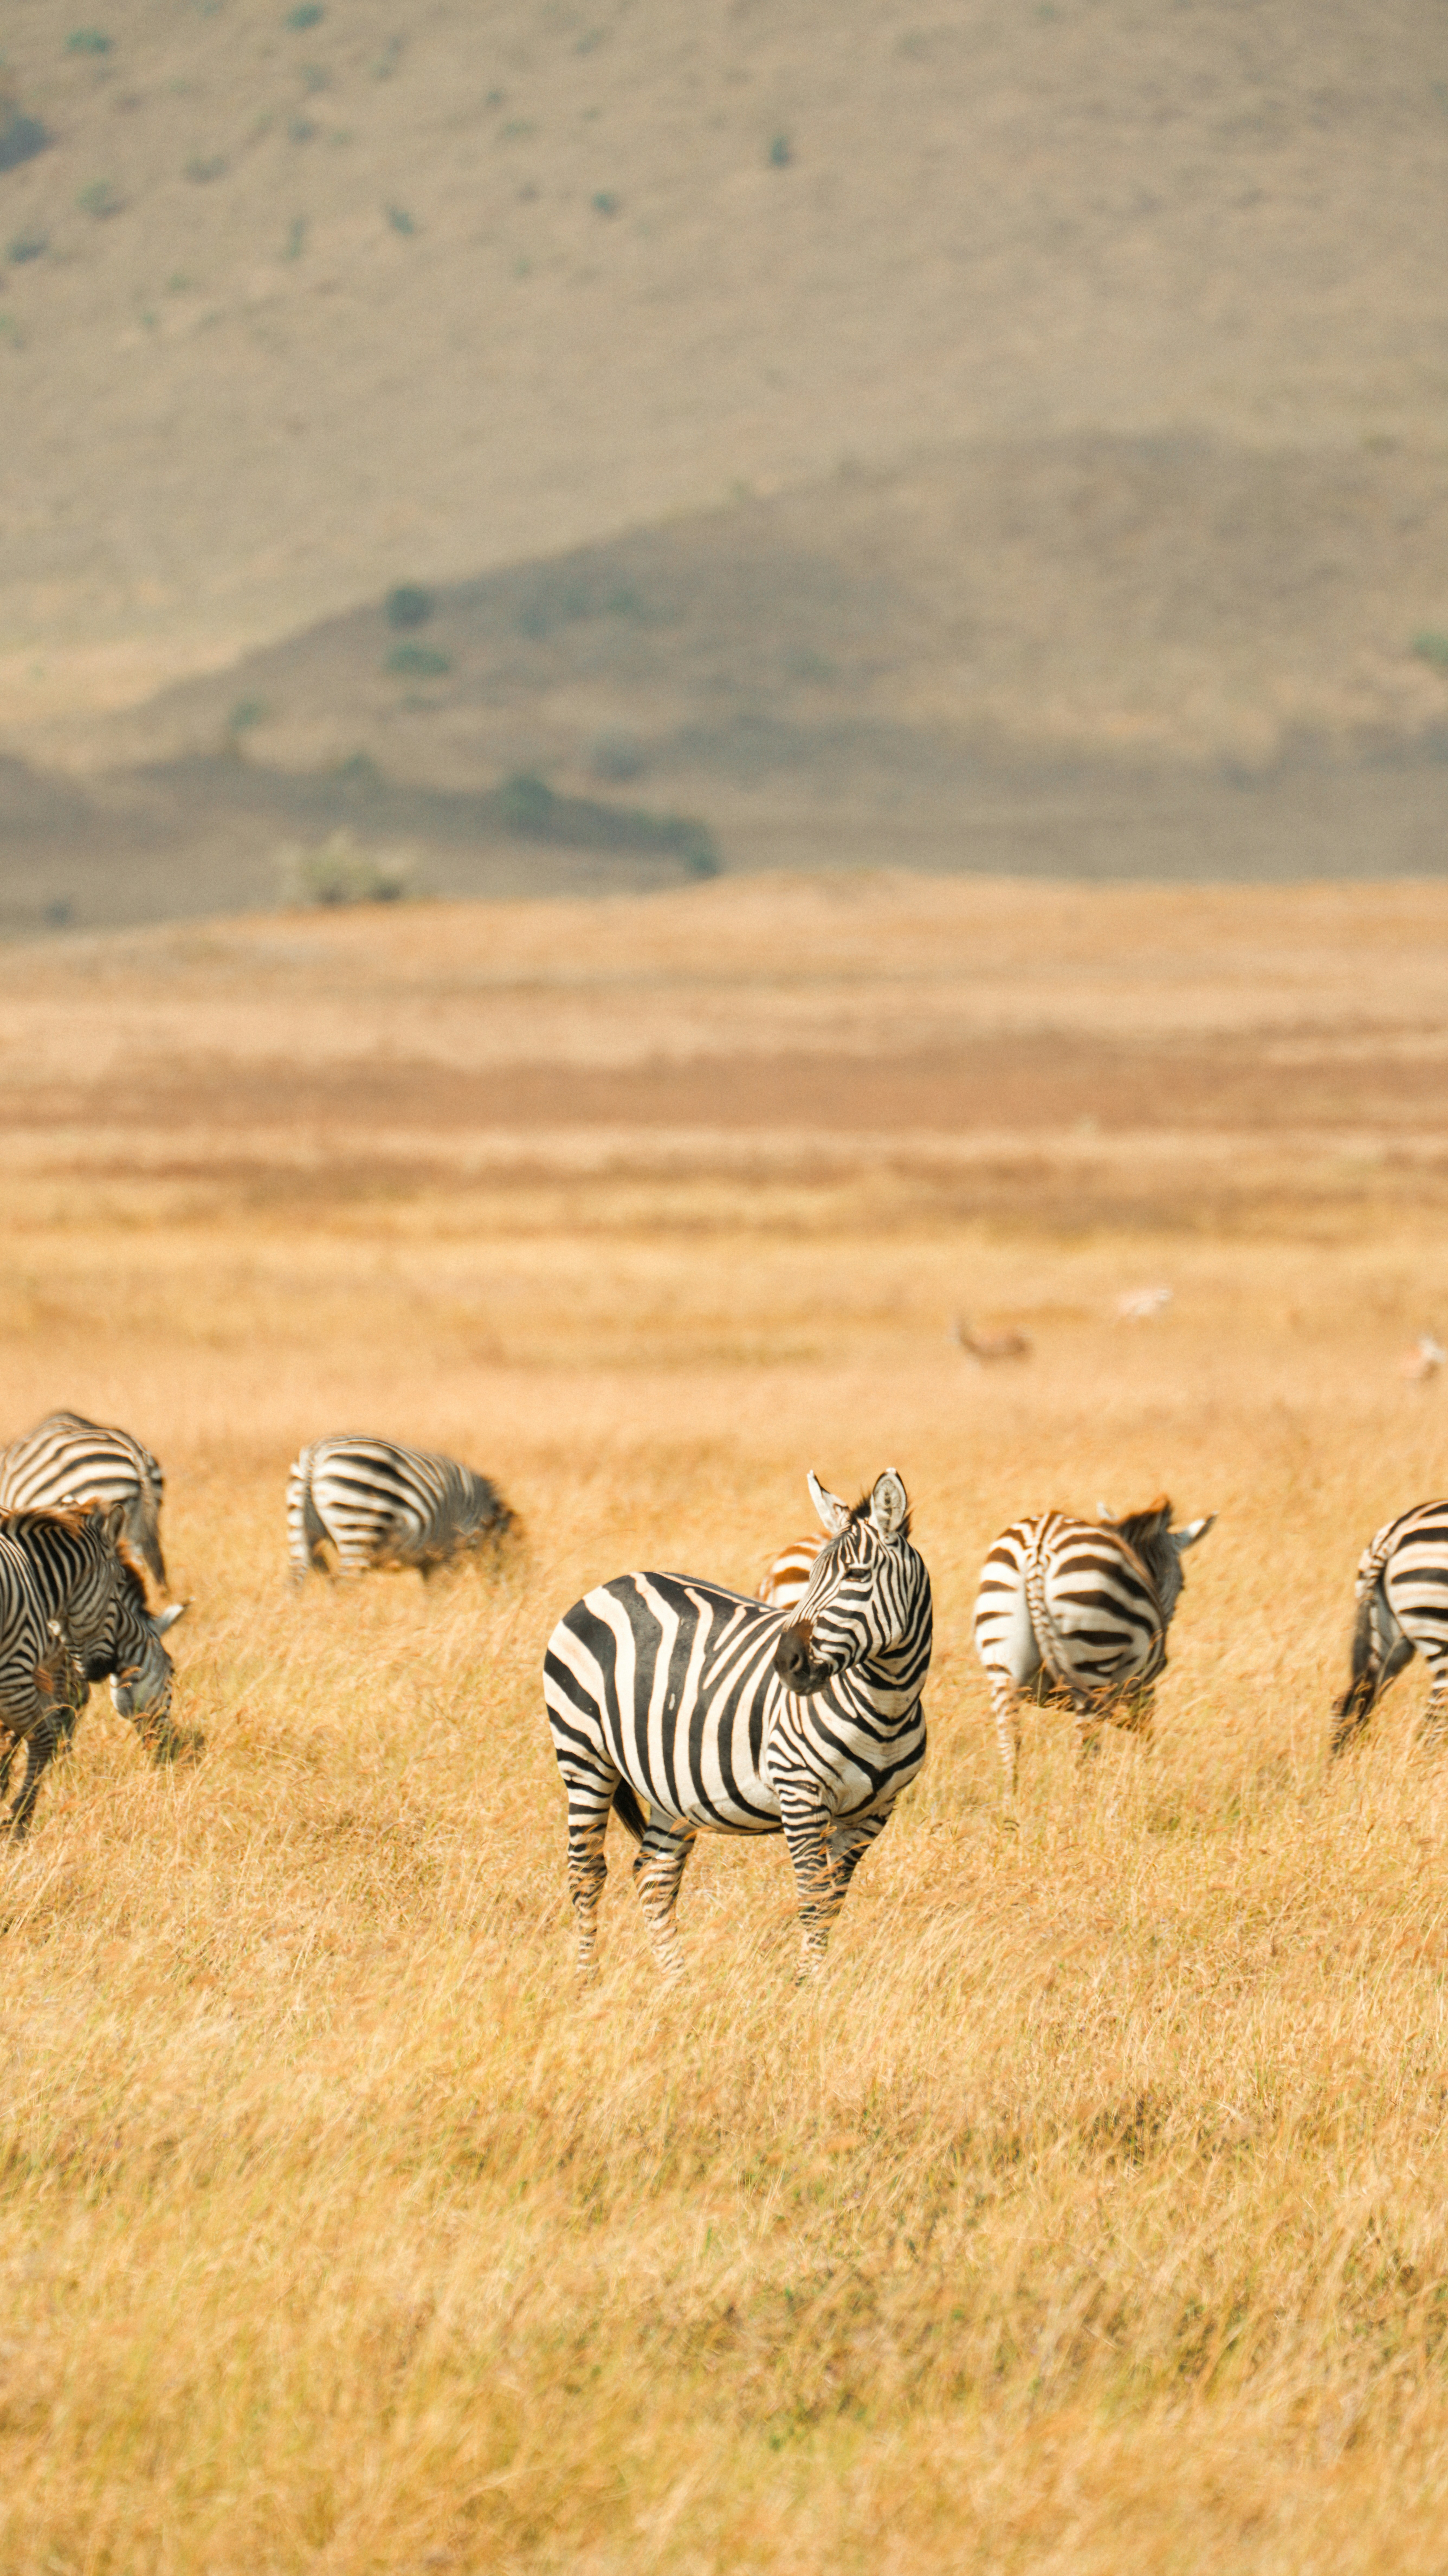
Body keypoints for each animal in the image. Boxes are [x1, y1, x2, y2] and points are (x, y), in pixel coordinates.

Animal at [0, 1502, 184, 1835]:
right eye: (173, 1673)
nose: (168, 1751)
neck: (41, 1580)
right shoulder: (21, 1667)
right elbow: (48, 1727)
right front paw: (18, 1817)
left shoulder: (42, 1667)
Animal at [288, 1435, 515, 1583]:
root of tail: (316, 1455)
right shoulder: (451, 1551)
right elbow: (440, 1591)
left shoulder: (431, 1561)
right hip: (358, 1523)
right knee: (344, 1582)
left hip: (300, 1525)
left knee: (296, 1576)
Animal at [544, 1468, 932, 1980]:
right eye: (810, 1576)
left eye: (857, 1575)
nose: (785, 1663)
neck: (887, 1705)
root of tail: (611, 1583)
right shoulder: (799, 1789)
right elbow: (813, 1897)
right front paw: (807, 1988)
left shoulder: (874, 1812)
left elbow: (831, 1901)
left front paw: (815, 1982)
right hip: (583, 1752)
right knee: (586, 1871)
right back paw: (586, 1980)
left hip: (671, 1783)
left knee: (653, 1875)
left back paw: (677, 1985)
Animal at [973, 1496, 1216, 1792]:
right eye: (1183, 1586)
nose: (1164, 1659)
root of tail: (1040, 1542)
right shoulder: (1141, 1687)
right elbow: (1145, 1735)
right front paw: (1144, 1781)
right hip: (1093, 1661)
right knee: (1084, 1753)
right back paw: (1082, 1804)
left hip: (1003, 1665)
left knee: (1011, 1748)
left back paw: (1013, 1801)